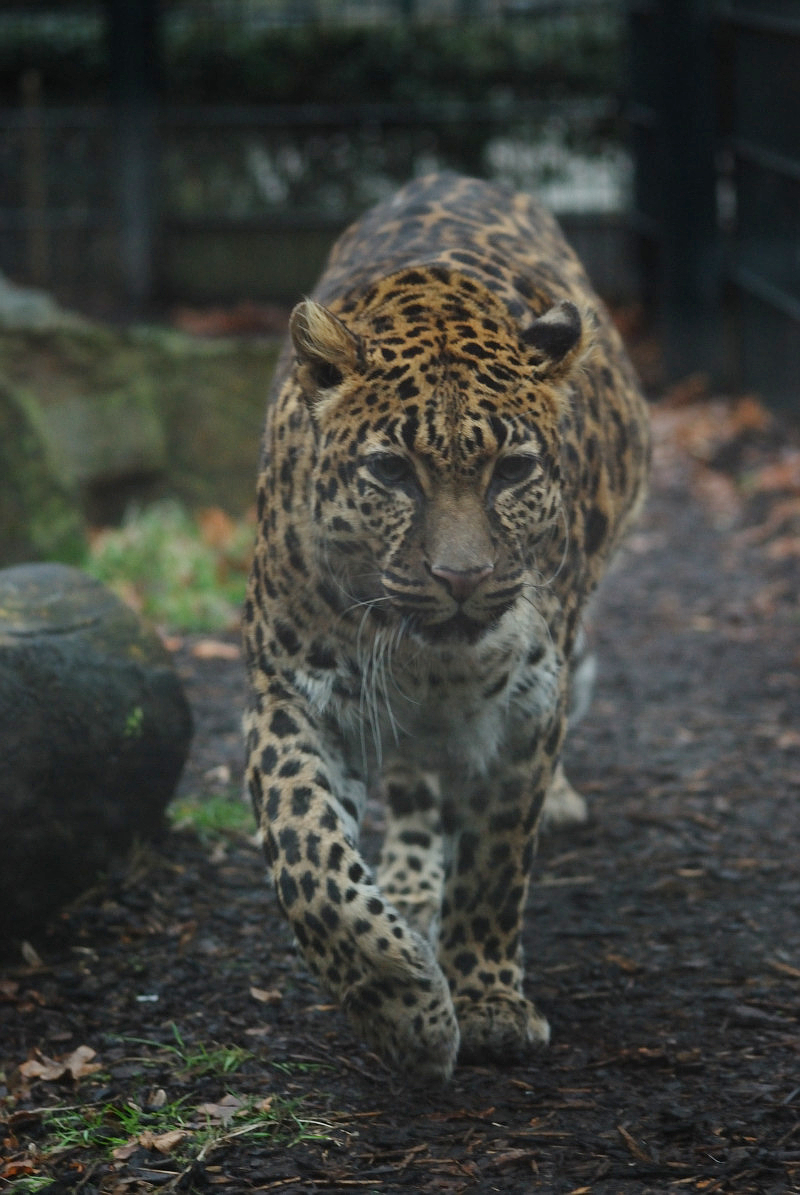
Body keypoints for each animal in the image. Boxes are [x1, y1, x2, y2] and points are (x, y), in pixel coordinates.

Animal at [243, 172, 650, 1084]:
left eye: (513, 471)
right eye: (393, 471)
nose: (461, 578)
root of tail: (450, 175)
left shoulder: (527, 709)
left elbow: (497, 858)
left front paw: (488, 999)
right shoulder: (290, 690)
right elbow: (308, 854)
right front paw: (402, 1004)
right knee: (411, 785)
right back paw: (406, 878)